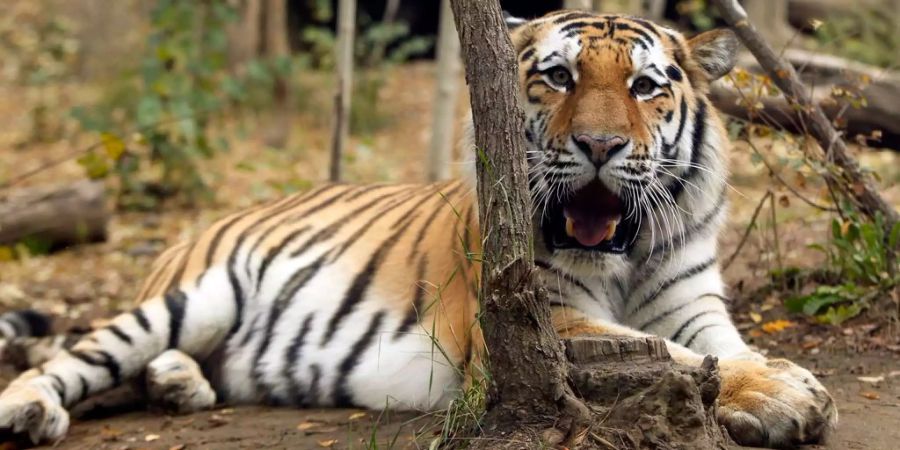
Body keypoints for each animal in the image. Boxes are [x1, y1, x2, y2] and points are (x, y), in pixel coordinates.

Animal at [0, 10, 836, 448]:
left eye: (644, 87)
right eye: (558, 77)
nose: (599, 146)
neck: (625, 258)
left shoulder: (694, 302)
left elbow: (719, 349)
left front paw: (773, 382)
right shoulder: (540, 316)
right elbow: (676, 357)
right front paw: (788, 396)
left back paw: (180, 385)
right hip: (188, 299)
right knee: (76, 356)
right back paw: (28, 409)